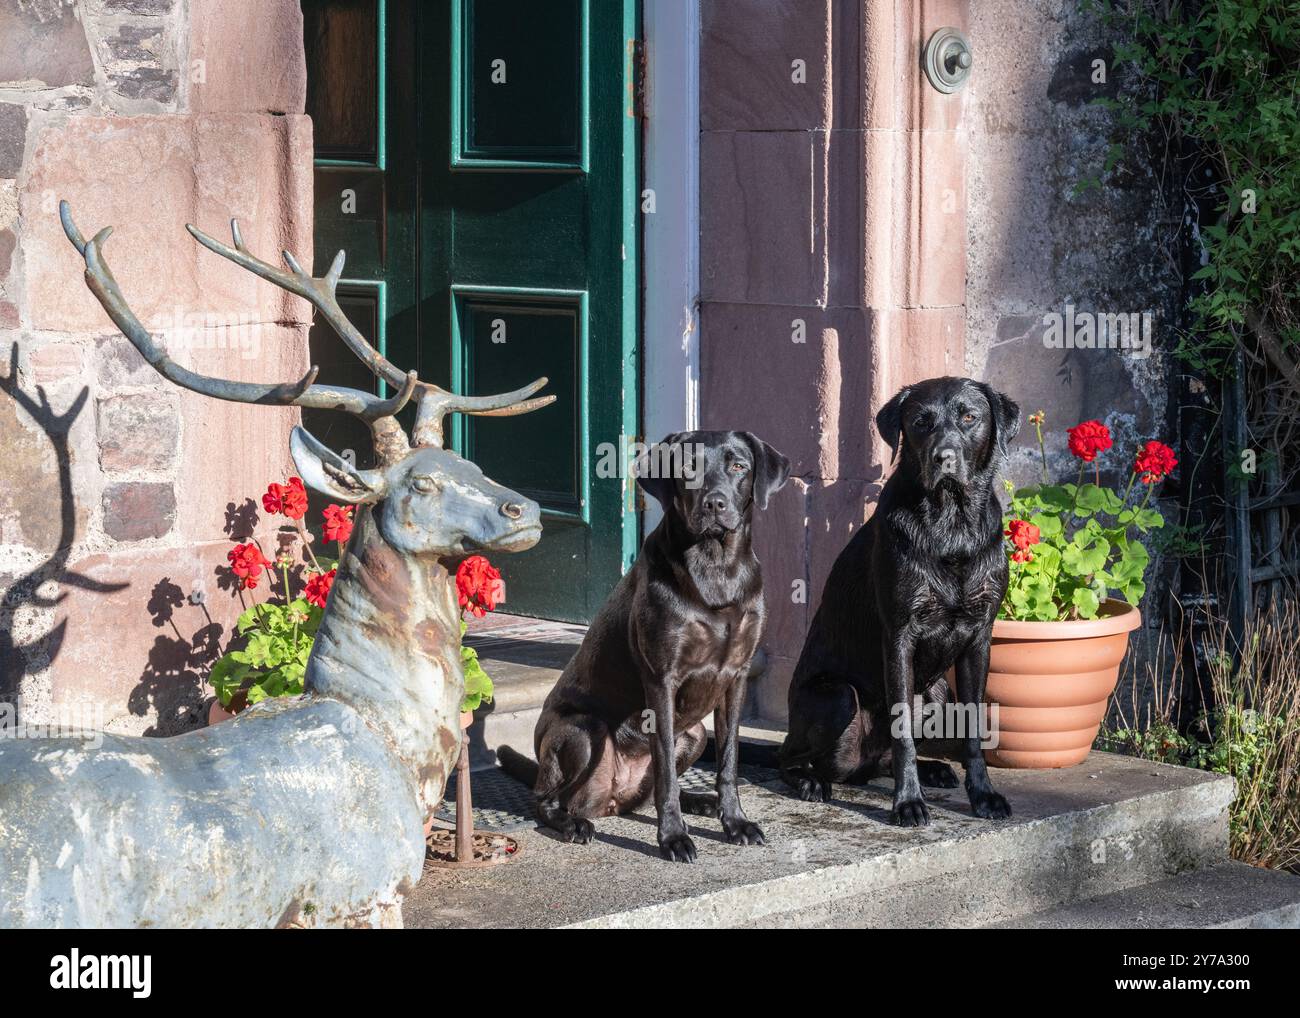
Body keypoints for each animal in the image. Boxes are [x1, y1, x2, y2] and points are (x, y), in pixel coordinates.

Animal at [496, 429, 785, 858]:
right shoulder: (661, 680)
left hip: (696, 735)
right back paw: (572, 823)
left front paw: (734, 822)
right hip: (584, 730)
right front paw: (673, 837)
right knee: (546, 800)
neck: (716, 566)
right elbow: (665, 770)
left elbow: (729, 761)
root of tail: (613, 799)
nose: (715, 503)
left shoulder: (737, 676)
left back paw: (700, 801)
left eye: (738, 466)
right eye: (688, 467)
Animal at [774, 374, 1019, 826]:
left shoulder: (979, 638)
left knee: (885, 758)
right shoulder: (900, 635)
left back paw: (933, 769)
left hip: (938, 693)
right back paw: (810, 781)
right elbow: (902, 728)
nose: (943, 458)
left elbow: (974, 730)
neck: (951, 522)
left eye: (969, 417)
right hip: (836, 697)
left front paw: (983, 795)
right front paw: (907, 802)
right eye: (921, 422)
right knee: (789, 757)